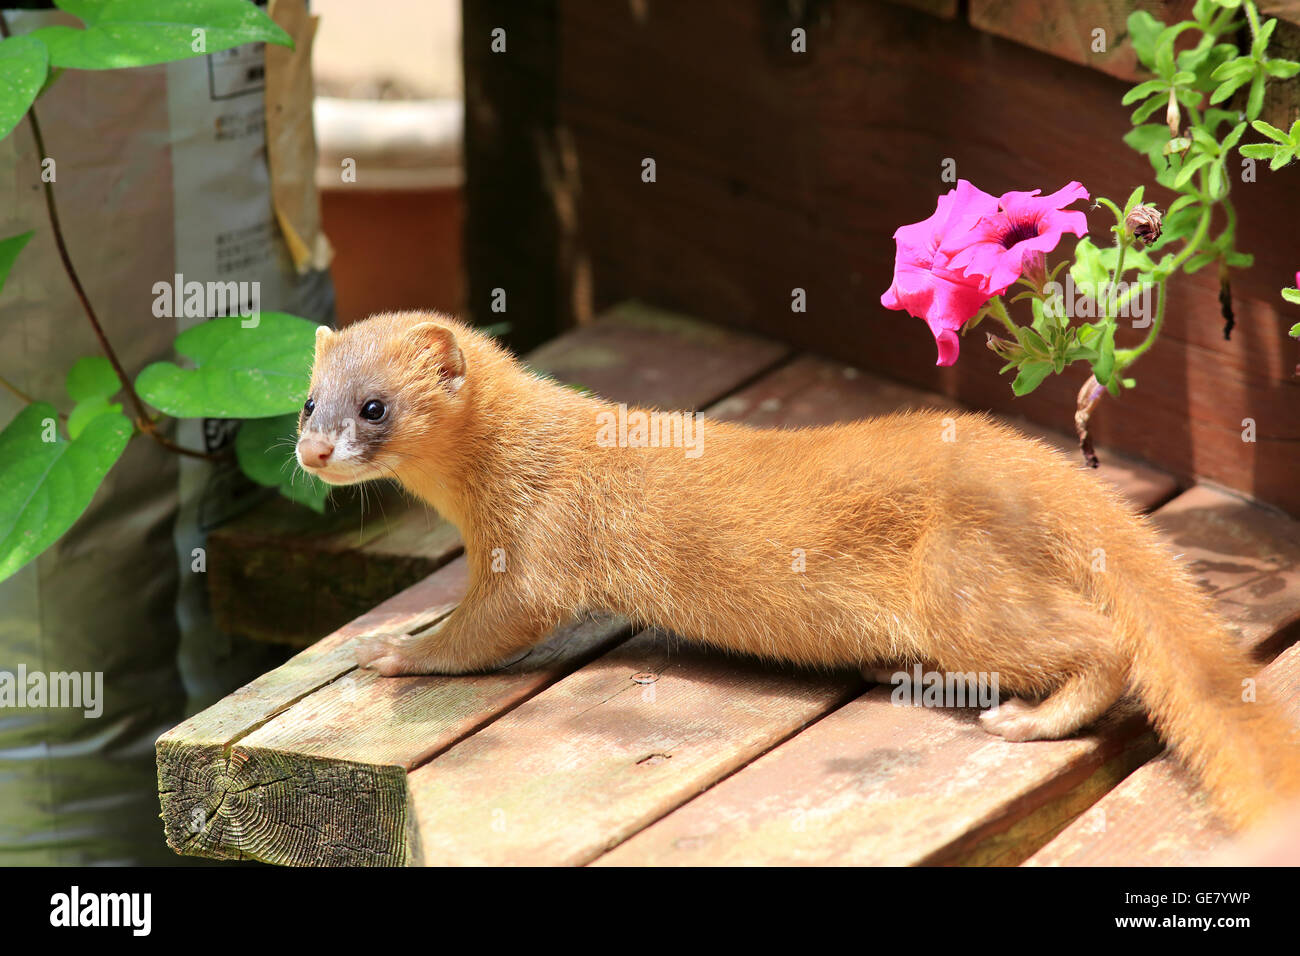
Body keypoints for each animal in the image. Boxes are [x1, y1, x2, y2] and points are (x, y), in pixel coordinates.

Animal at [297, 312, 1300, 832]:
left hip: (960, 585)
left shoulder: (534, 557)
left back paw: (1029, 718)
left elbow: (486, 629)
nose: (310, 451)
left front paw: (393, 649)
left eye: (374, 406)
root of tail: (1026, 461)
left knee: (1100, 643)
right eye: (309, 400)